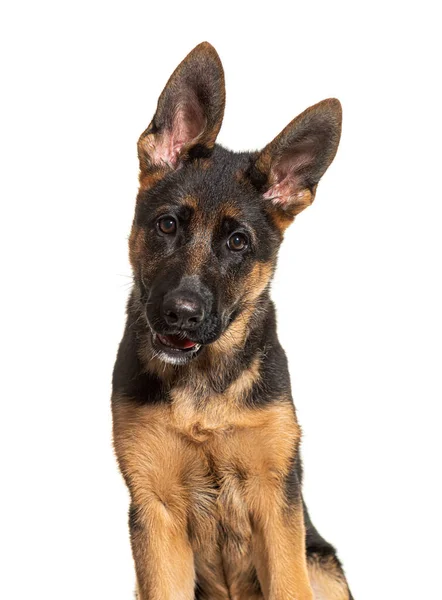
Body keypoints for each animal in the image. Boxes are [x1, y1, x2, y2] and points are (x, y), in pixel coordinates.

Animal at [113, 42, 352, 600]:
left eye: (238, 242)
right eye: (168, 224)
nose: (181, 313)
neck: (204, 383)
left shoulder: (275, 501)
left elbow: (288, 583)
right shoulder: (154, 509)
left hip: (323, 565)